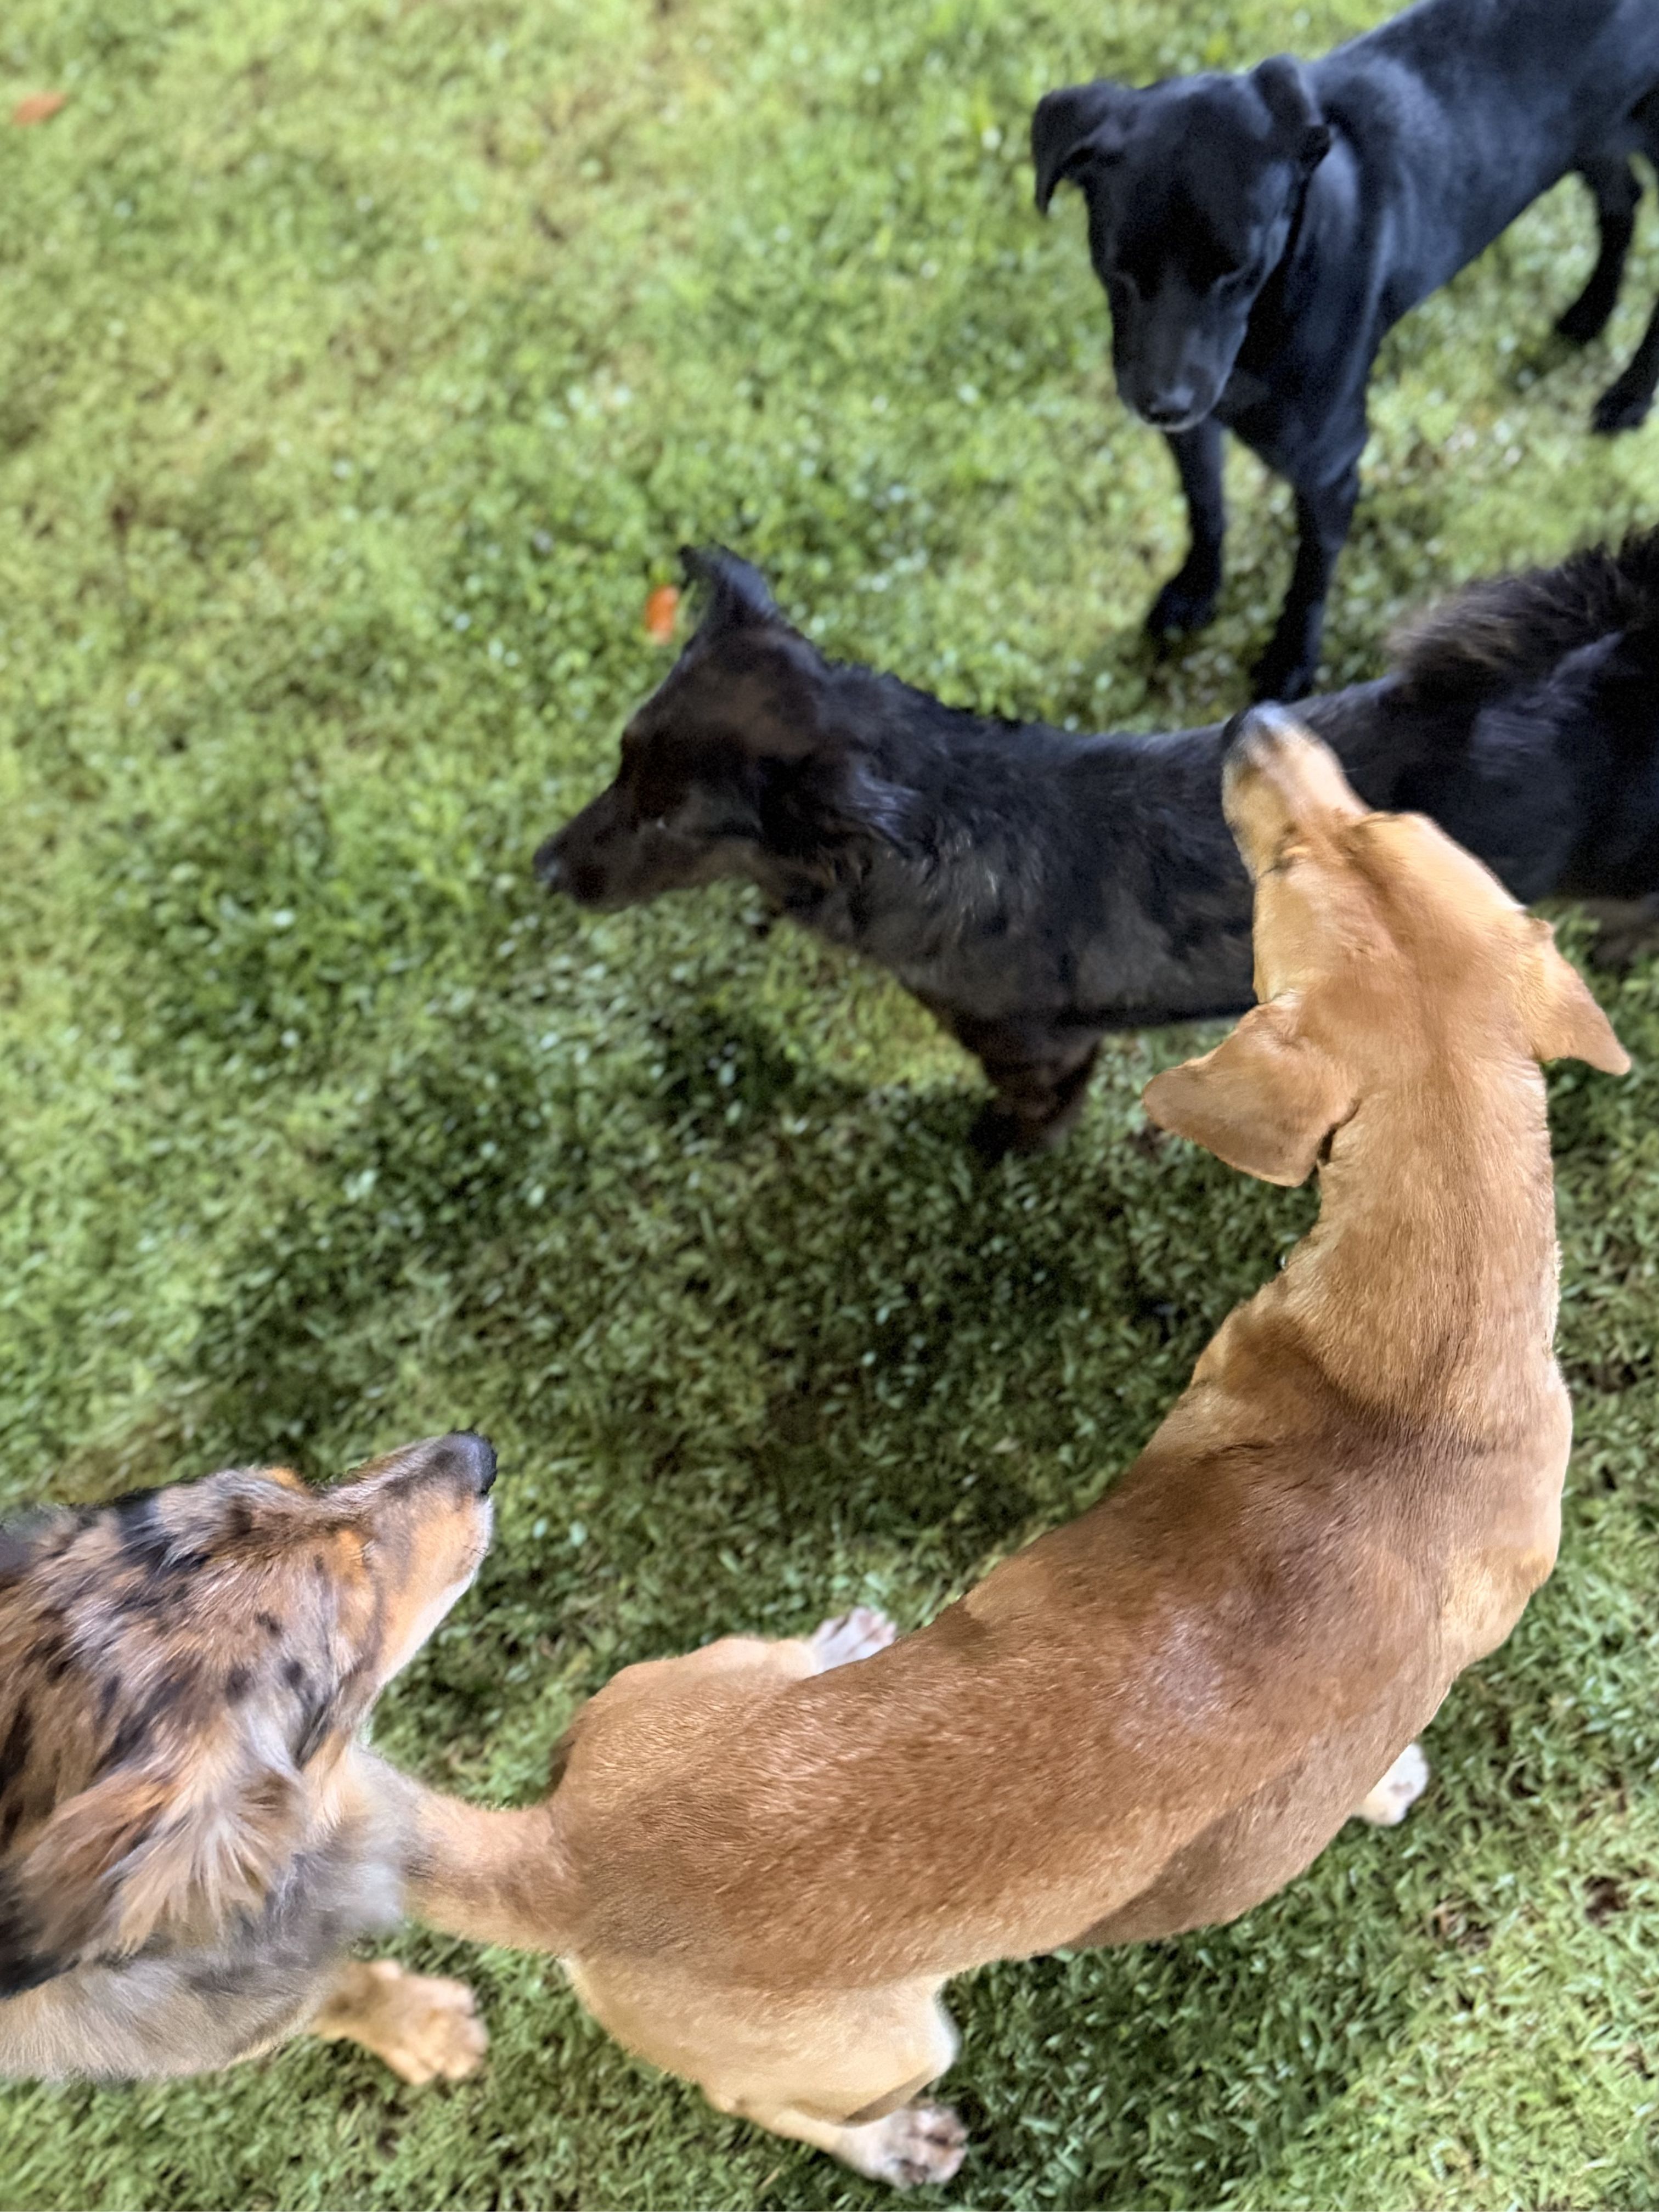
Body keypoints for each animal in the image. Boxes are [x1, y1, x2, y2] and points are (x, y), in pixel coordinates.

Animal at [428, 714, 1630, 2185]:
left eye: (1383, 825)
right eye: (1296, 861)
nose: (1261, 721)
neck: (1409, 1378)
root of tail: (559, 1856)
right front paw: (1391, 1784)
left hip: (680, 1684)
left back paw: (839, 1643)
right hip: (883, 2043)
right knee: (777, 2104)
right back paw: (898, 2147)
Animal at [538, 536, 1659, 1155]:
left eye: (666, 820)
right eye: (619, 760)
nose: (544, 870)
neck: (941, 809)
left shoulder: (1033, 1045)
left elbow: (1031, 1105)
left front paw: (1006, 1149)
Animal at [1032, 0, 1659, 700]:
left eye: (1239, 271)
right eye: (1116, 267)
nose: (1162, 404)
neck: (1275, 305)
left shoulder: (1329, 466)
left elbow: (1310, 575)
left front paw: (1289, 662)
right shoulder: (1194, 430)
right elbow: (1206, 507)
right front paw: (1196, 589)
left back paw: (1629, 396)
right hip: (1594, 136)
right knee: (1624, 200)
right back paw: (1590, 312)